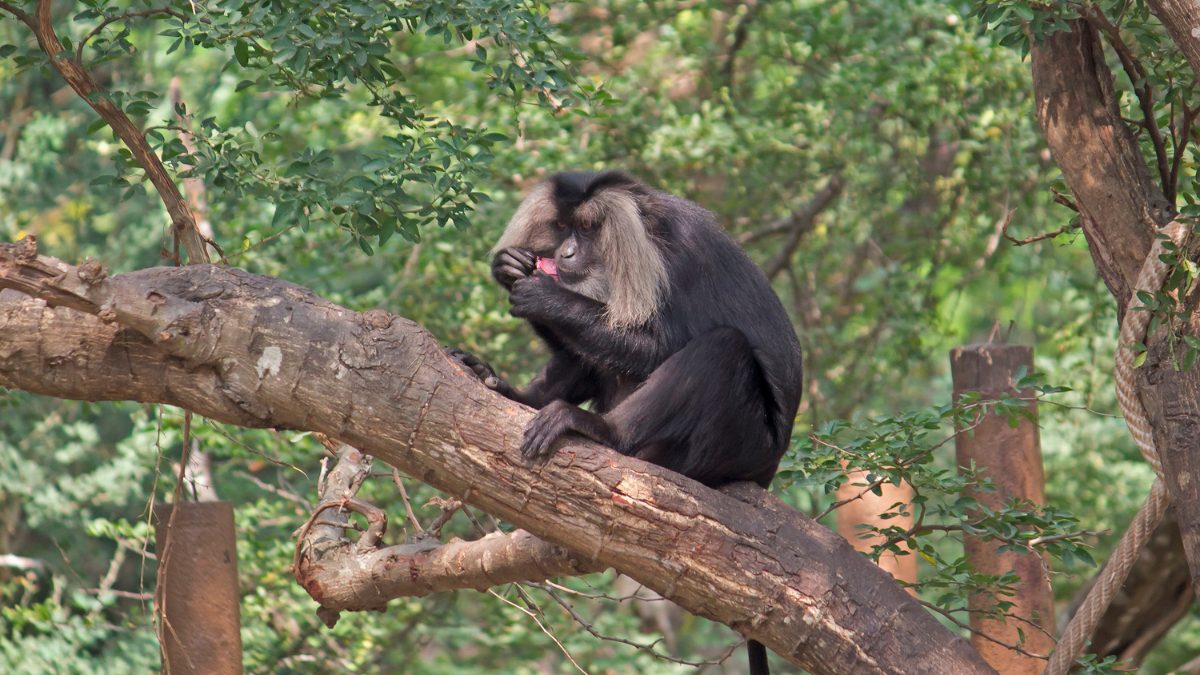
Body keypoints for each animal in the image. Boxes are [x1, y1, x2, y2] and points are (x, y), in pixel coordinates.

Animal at [451, 170, 802, 675]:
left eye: (587, 230)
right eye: (562, 228)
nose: (564, 254)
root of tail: (766, 471)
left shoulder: (677, 257)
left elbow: (664, 347)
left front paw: (547, 297)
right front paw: (509, 269)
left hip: (733, 444)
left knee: (722, 348)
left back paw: (598, 430)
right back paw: (509, 392)